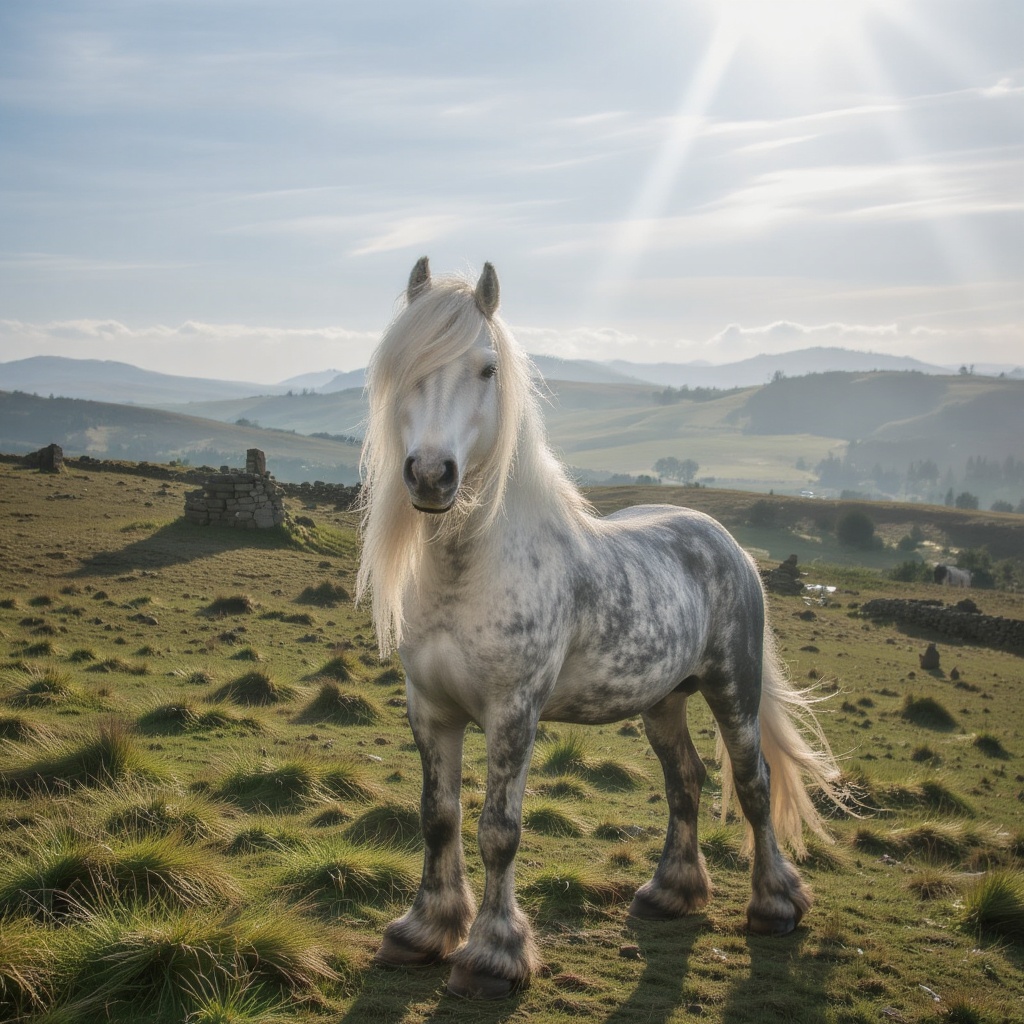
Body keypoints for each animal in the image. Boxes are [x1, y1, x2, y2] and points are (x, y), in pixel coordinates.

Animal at [356, 258, 844, 999]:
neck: (471, 571)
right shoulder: (430, 709)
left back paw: (775, 905)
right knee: (686, 781)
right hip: (663, 702)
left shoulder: (513, 713)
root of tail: (724, 540)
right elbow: (438, 819)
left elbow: (498, 830)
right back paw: (670, 893)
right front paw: (422, 931)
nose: (432, 474)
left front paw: (491, 956)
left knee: (753, 783)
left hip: (733, 687)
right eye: (404, 365)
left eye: (487, 368)